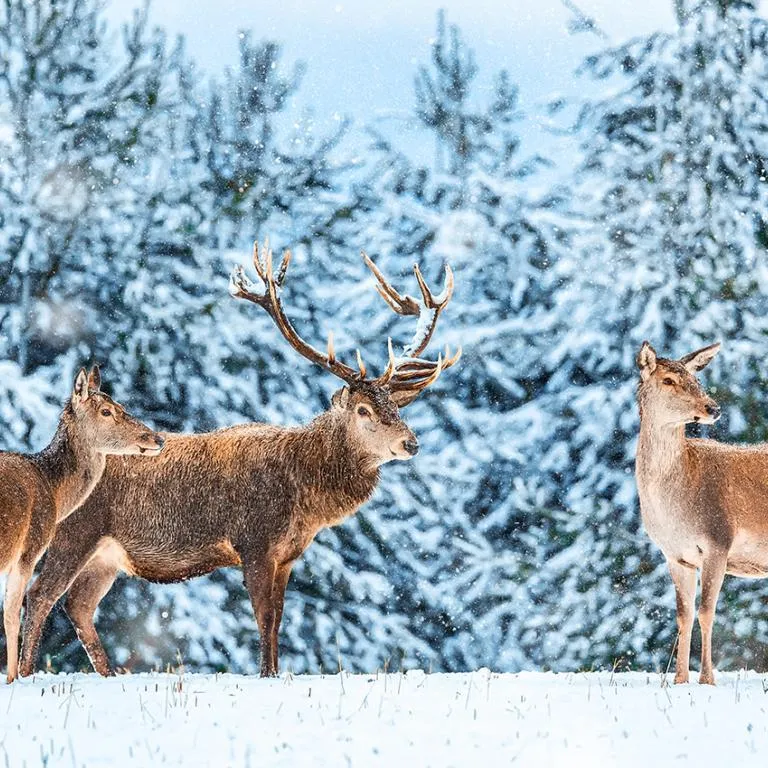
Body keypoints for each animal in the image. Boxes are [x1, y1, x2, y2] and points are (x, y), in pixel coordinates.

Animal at [0, 368, 164, 680]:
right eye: (106, 411)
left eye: (121, 405)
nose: (157, 439)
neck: (54, 489)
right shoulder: (29, 548)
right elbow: (12, 611)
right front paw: (13, 678)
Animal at [19, 244, 462, 680]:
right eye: (364, 410)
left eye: (396, 406)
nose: (411, 443)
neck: (304, 497)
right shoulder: (254, 541)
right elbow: (264, 619)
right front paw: (265, 675)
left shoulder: (288, 554)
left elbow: (278, 619)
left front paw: (275, 672)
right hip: (74, 532)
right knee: (39, 595)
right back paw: (25, 673)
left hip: (106, 555)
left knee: (78, 605)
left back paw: (108, 675)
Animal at [632, 340, 768, 684]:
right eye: (668, 380)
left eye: (696, 379)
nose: (712, 408)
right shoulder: (675, 555)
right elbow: (684, 614)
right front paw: (679, 679)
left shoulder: (718, 540)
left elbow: (707, 612)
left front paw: (707, 679)